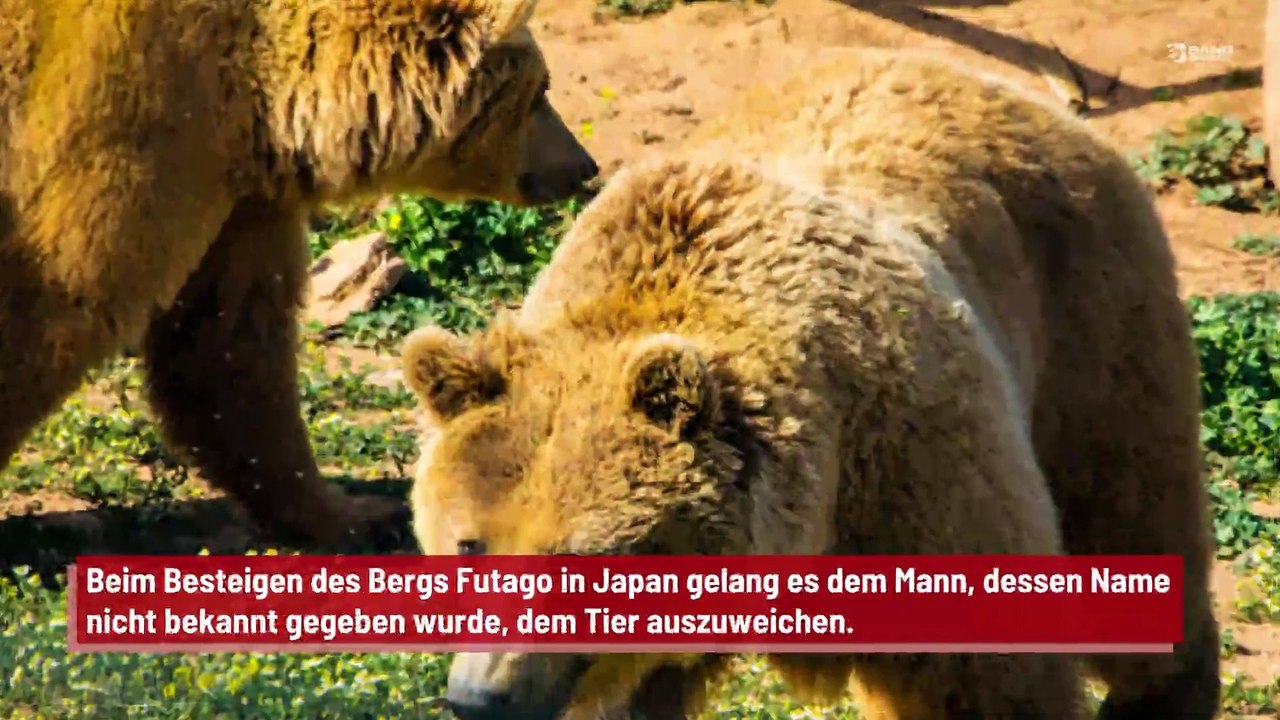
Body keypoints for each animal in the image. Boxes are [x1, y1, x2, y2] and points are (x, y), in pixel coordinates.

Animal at [0, 0, 598, 548]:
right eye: (540, 91)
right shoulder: (126, 123)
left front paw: (352, 514)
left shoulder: (242, 196)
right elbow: (63, 305)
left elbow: (229, 348)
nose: (585, 166)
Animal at [399, 48, 1219, 720]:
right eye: (470, 544)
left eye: (577, 562)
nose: (480, 698)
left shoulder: (908, 473)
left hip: (1089, 325)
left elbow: (986, 672)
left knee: (1130, 514)